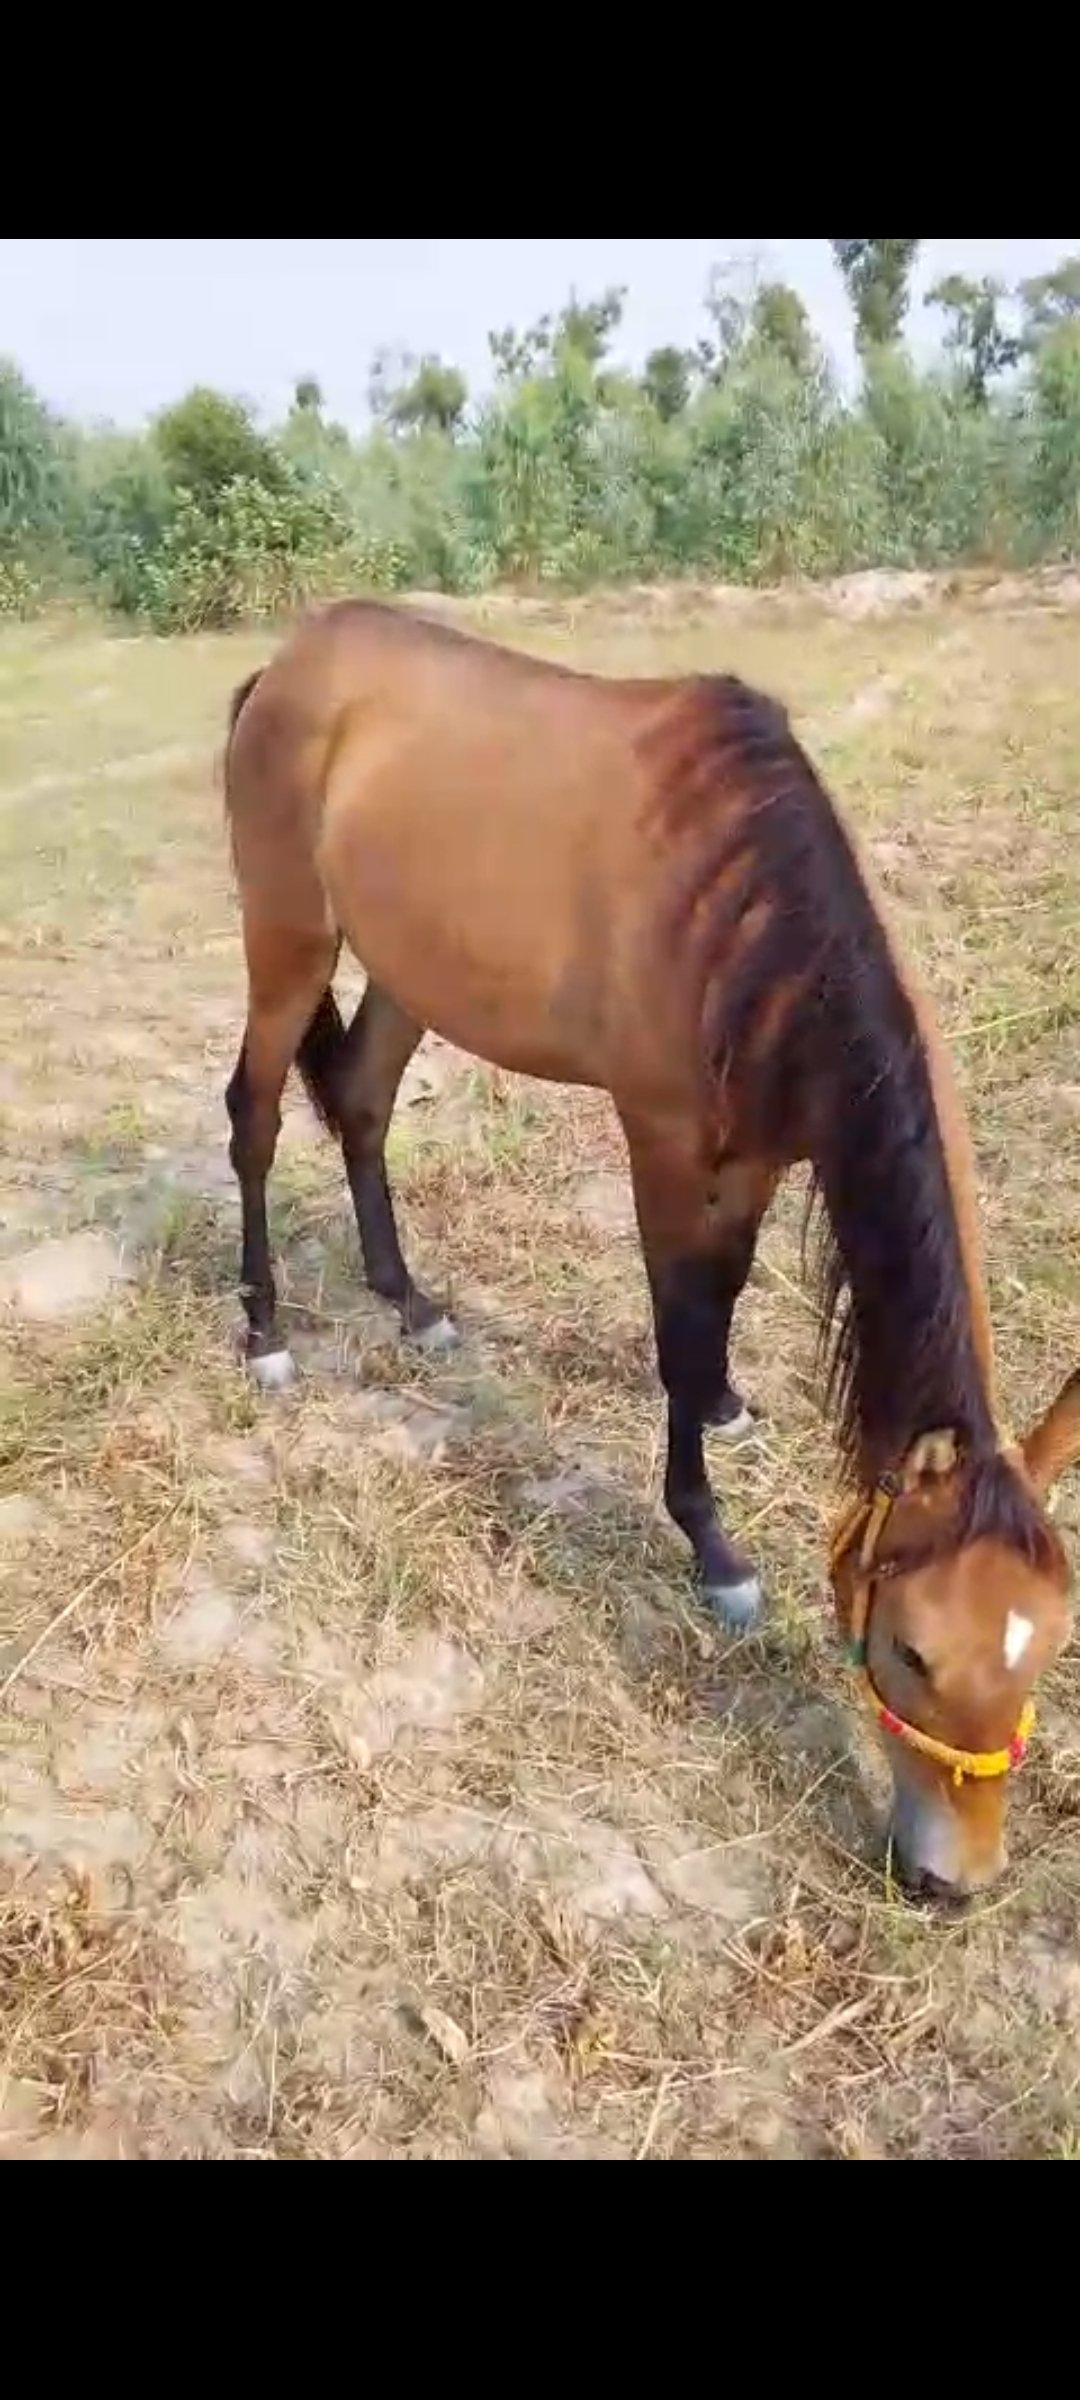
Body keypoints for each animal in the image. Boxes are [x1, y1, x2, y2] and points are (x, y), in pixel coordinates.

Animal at [222, 597, 1080, 1906]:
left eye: (1043, 1651)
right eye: (914, 1648)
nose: (954, 1881)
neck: (746, 912)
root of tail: (285, 666)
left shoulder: (766, 1150)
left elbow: (717, 1304)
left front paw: (726, 1405)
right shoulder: (665, 1139)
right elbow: (679, 1325)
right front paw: (711, 1542)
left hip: (410, 968)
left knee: (362, 1103)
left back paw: (409, 1301)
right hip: (288, 944)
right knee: (257, 1119)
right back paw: (265, 1328)